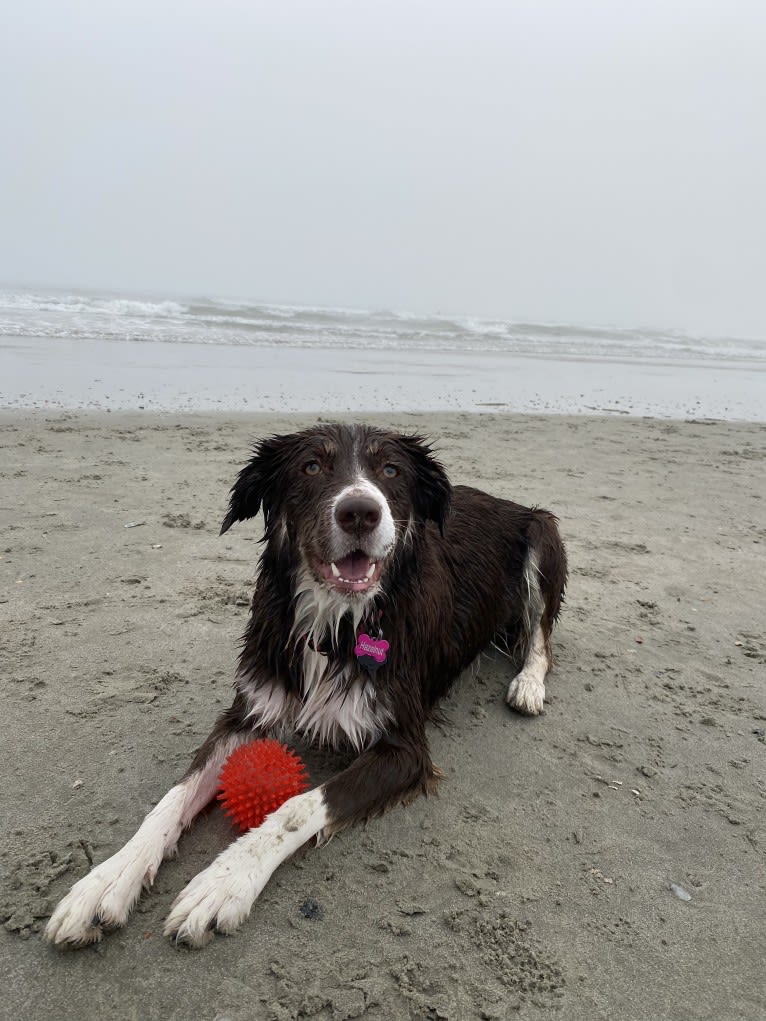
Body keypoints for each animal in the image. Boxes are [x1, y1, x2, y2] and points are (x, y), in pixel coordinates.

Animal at [44, 422, 567, 947]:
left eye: (390, 470)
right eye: (311, 466)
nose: (360, 512)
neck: (333, 623)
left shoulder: (404, 748)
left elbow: (298, 805)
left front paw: (225, 879)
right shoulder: (252, 708)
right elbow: (175, 795)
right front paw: (109, 877)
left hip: (545, 533)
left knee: (540, 635)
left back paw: (528, 685)